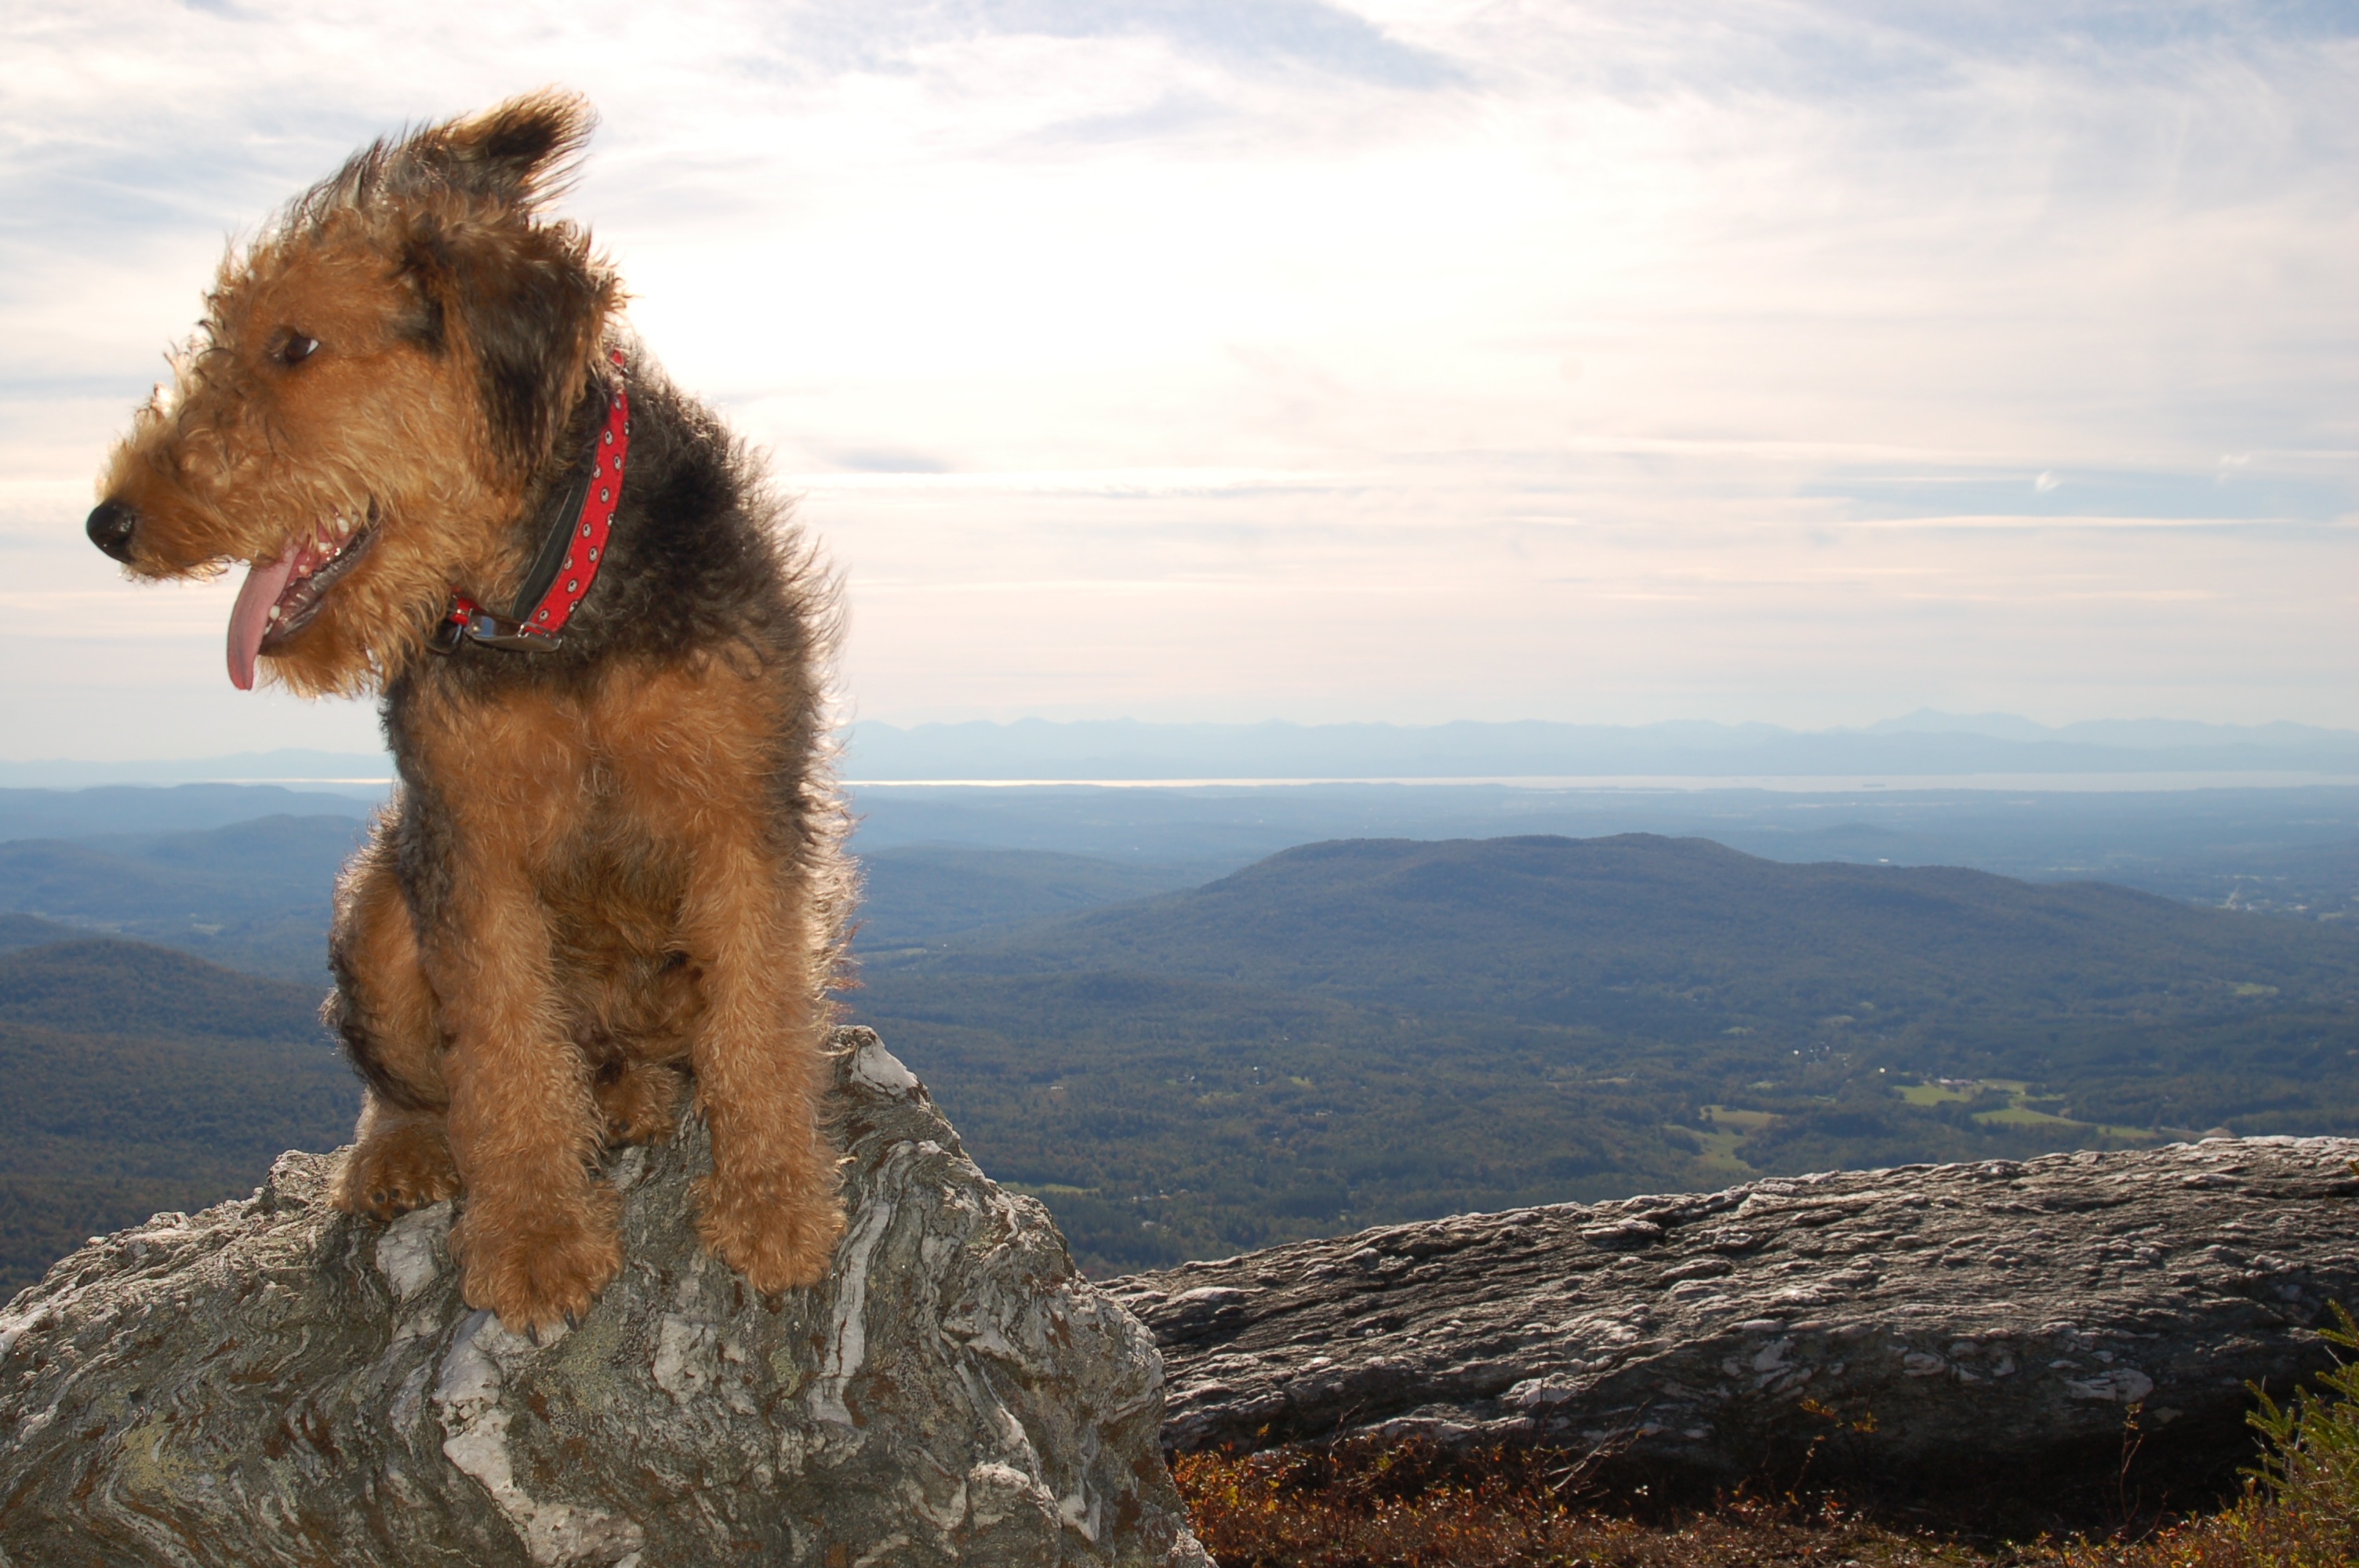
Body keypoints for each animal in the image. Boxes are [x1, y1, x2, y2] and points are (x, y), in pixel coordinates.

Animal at [85, 92, 858, 1330]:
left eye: (294, 345)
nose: (110, 523)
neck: (552, 604)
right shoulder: (470, 839)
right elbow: (499, 1048)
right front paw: (536, 1237)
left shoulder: (743, 814)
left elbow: (761, 1015)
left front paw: (774, 1204)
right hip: (382, 906)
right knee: (413, 1079)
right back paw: (408, 1152)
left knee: (653, 1048)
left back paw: (634, 1093)